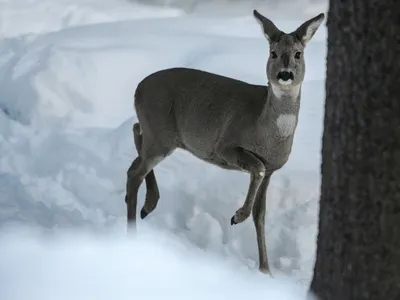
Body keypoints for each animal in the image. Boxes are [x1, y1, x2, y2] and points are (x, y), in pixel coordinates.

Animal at [125, 9, 324, 274]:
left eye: (298, 54)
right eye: (273, 52)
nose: (284, 74)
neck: (267, 130)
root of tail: (137, 88)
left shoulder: (273, 167)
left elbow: (261, 213)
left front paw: (266, 270)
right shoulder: (225, 146)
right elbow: (256, 170)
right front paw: (236, 216)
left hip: (158, 134)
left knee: (135, 142)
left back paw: (147, 206)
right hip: (160, 134)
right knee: (135, 172)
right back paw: (133, 231)